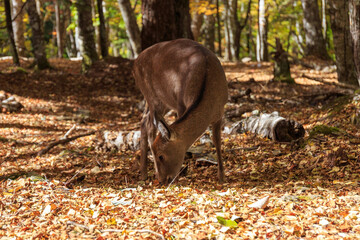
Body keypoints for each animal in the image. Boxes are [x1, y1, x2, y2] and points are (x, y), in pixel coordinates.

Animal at [132, 38, 228, 183]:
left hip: (161, 101)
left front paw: (221, 176)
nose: (162, 180)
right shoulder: (180, 105)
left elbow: (217, 140)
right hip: (150, 95)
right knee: (149, 126)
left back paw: (144, 174)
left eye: (161, 156)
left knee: (144, 121)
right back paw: (144, 174)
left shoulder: (220, 112)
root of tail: (135, 62)